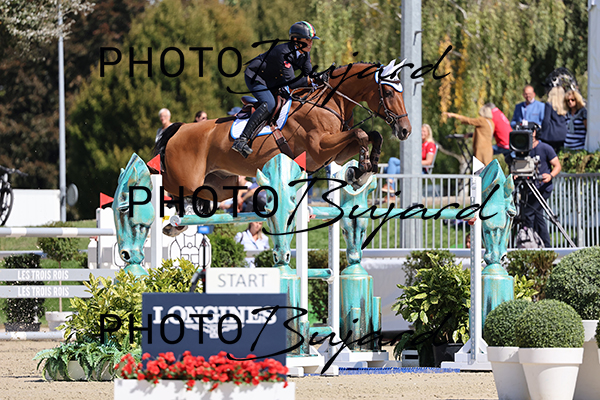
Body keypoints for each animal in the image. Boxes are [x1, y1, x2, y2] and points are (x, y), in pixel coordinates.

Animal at [155, 59, 412, 227]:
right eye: (389, 93)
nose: (405, 130)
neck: (330, 102)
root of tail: (178, 130)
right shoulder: (319, 149)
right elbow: (360, 134)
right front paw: (362, 169)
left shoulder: (335, 154)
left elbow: (371, 135)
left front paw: (363, 170)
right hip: (184, 179)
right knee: (164, 186)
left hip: (219, 186)